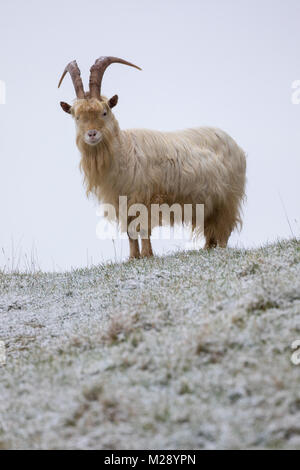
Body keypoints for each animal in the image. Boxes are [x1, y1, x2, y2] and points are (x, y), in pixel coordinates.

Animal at [58, 57, 246, 260]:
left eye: (104, 112)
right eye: (76, 117)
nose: (92, 134)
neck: (124, 151)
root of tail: (234, 144)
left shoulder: (145, 198)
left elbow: (142, 228)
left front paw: (147, 255)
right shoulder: (122, 203)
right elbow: (130, 232)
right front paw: (133, 257)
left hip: (228, 198)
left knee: (223, 229)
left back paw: (220, 249)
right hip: (208, 204)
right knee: (211, 228)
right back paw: (207, 249)